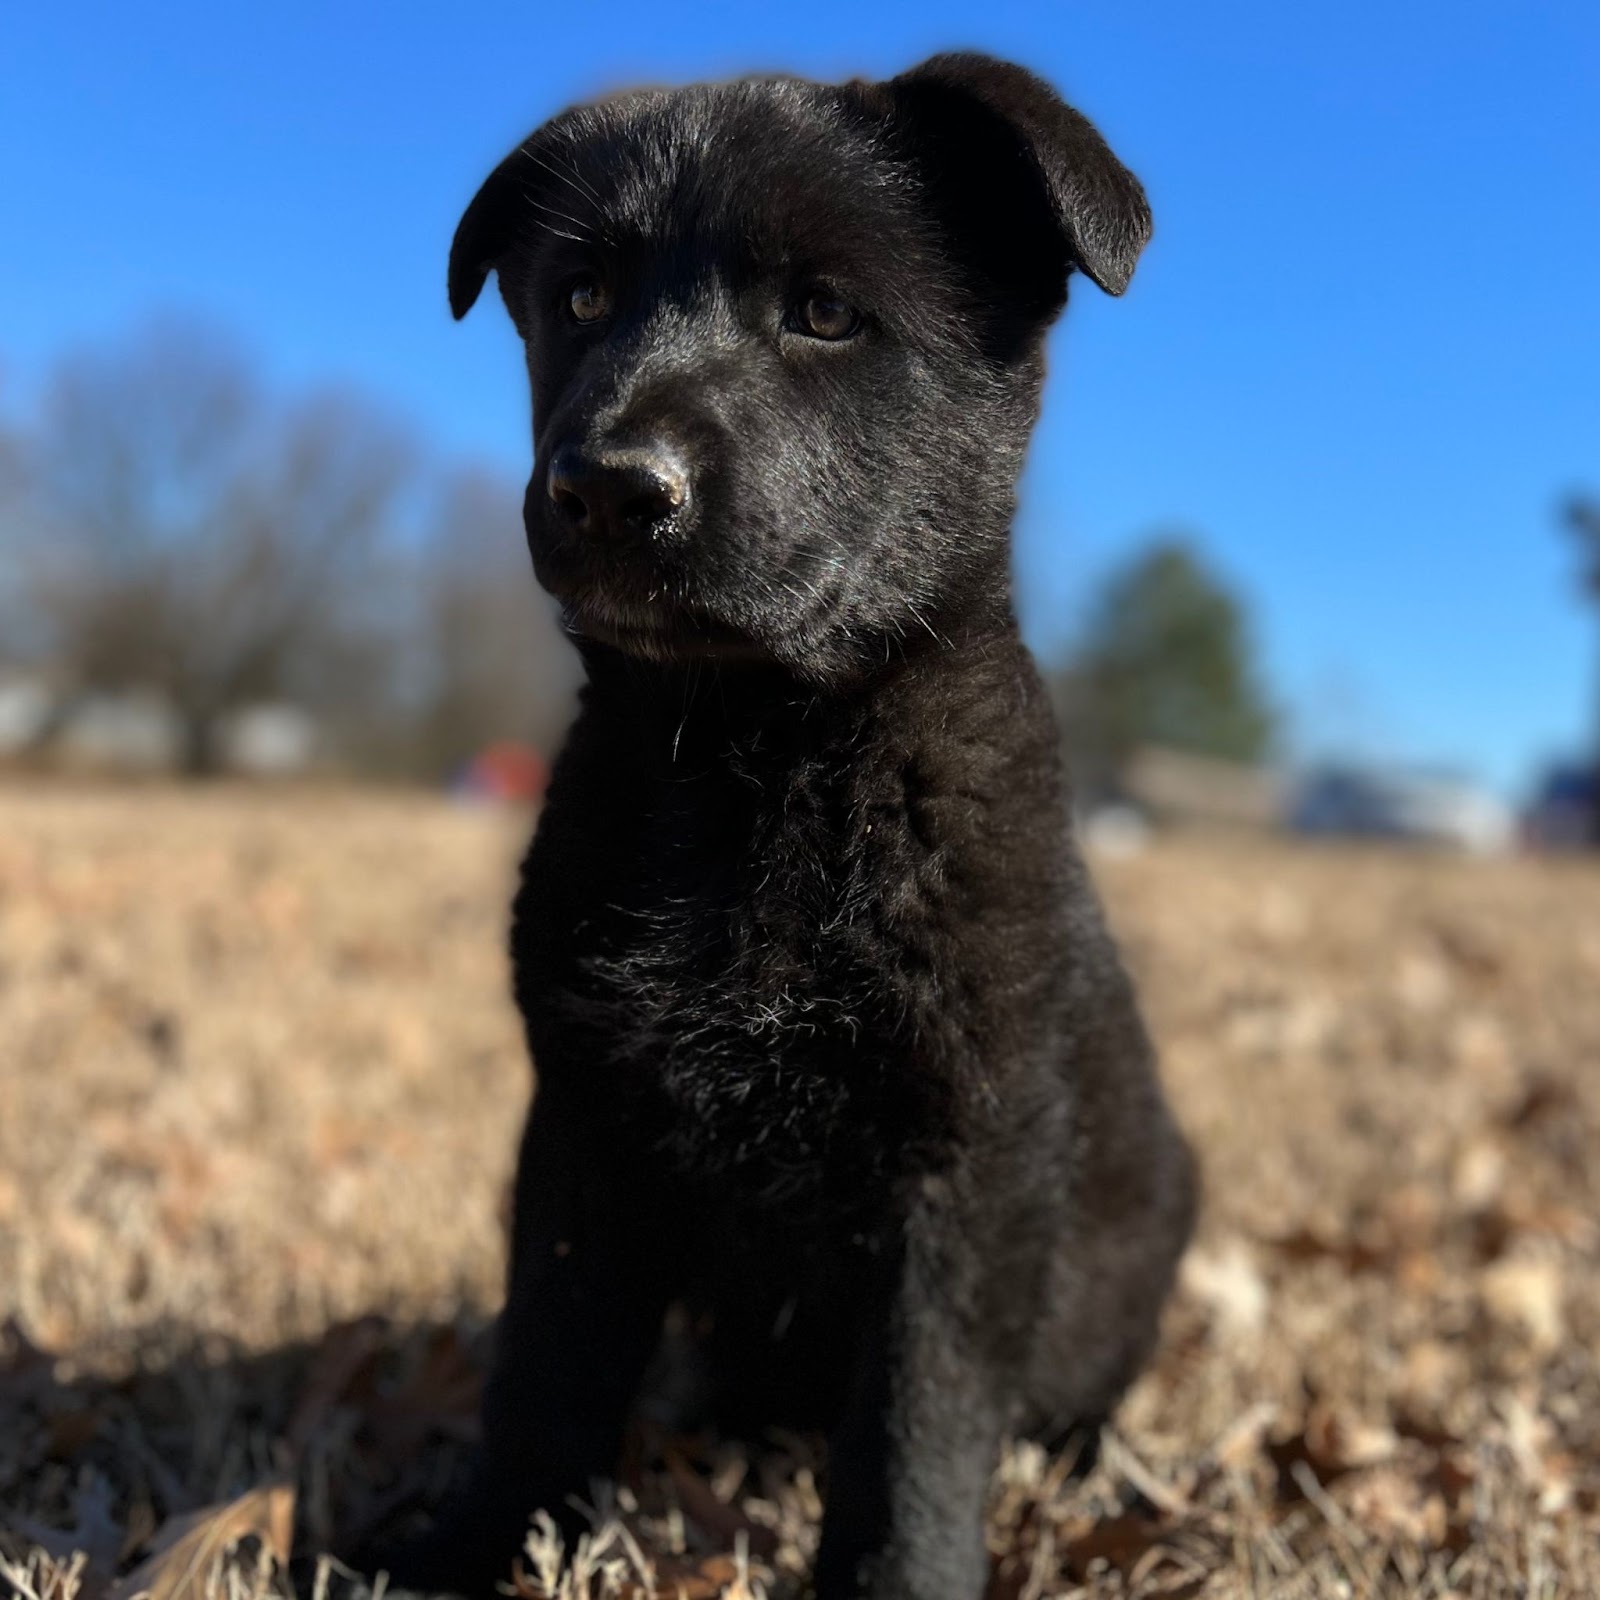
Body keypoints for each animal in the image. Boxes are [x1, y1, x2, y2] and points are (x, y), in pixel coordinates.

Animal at [380, 50, 1196, 1600]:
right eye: (582, 297)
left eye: (824, 312)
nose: (608, 488)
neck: (751, 767)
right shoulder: (585, 1126)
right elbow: (546, 1373)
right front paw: (477, 1547)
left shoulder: (962, 1168)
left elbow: (915, 1433)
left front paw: (897, 1580)